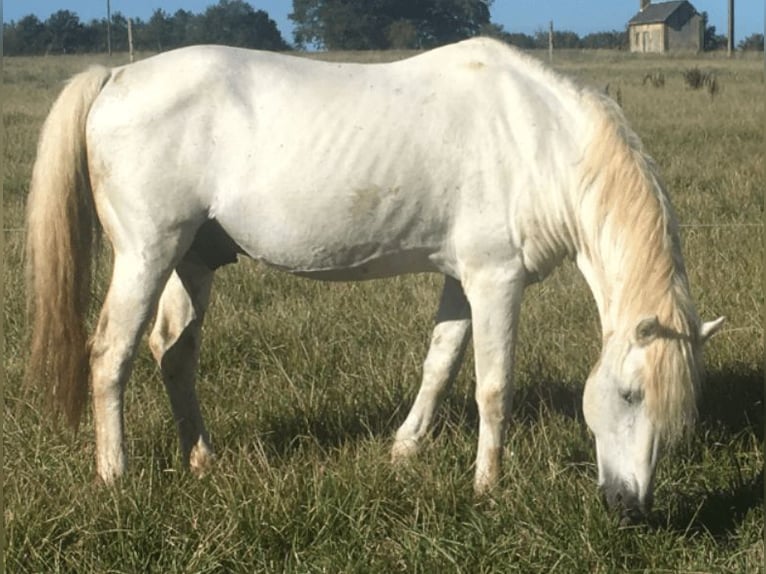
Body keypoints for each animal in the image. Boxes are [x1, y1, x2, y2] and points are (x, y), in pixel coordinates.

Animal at [27, 38, 724, 524]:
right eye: (630, 395)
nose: (630, 508)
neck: (539, 141)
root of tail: (115, 77)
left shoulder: (461, 279)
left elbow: (440, 363)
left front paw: (405, 449)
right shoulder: (496, 280)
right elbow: (492, 387)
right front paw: (487, 486)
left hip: (191, 261)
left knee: (173, 354)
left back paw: (202, 459)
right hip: (146, 255)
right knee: (110, 356)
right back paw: (115, 476)